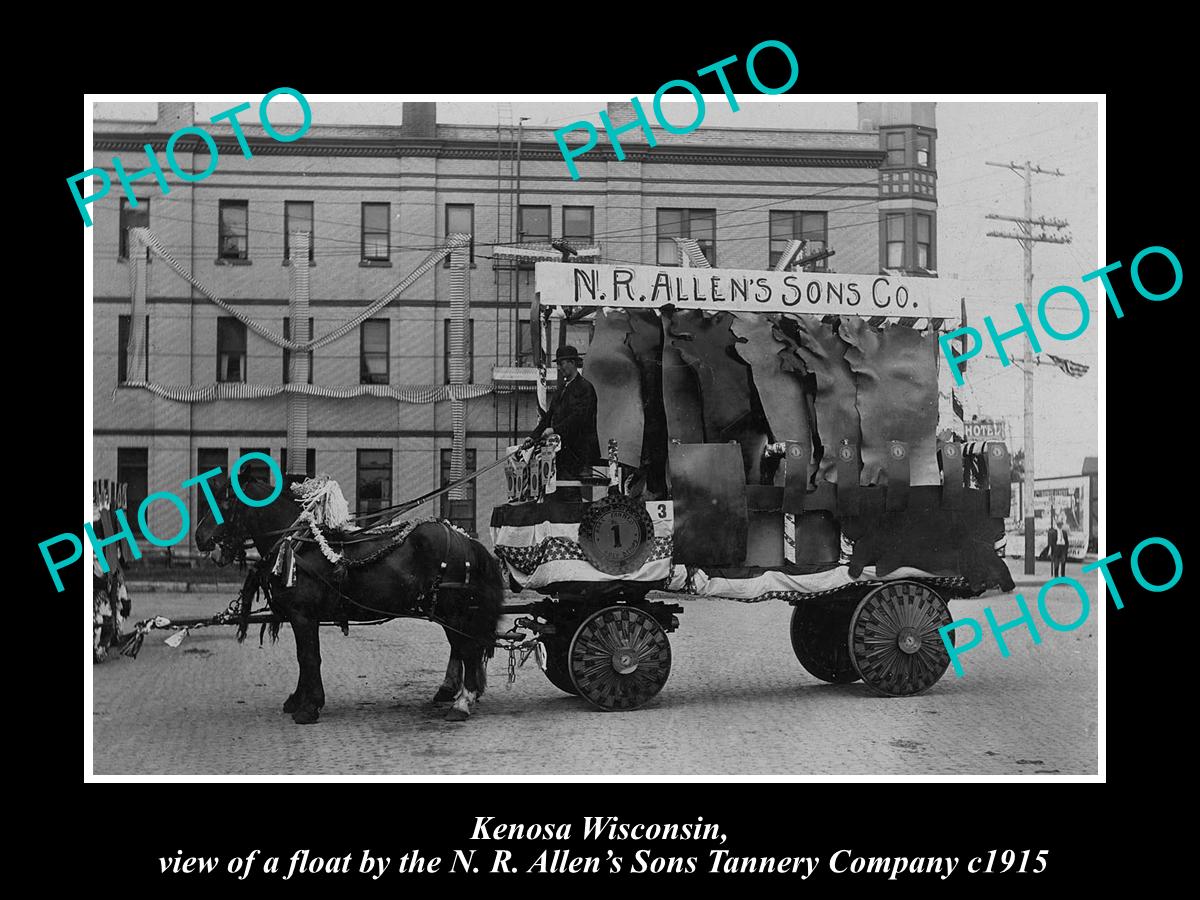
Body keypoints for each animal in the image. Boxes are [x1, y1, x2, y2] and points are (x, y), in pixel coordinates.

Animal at [190, 480, 506, 724]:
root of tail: (464, 538)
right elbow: (304, 658)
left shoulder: (303, 616)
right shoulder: (303, 618)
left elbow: (309, 658)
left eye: (224, 504)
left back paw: (462, 702)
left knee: (467, 648)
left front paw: (309, 706)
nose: (199, 537)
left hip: (454, 611)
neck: (298, 545)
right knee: (464, 648)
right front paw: (298, 699)